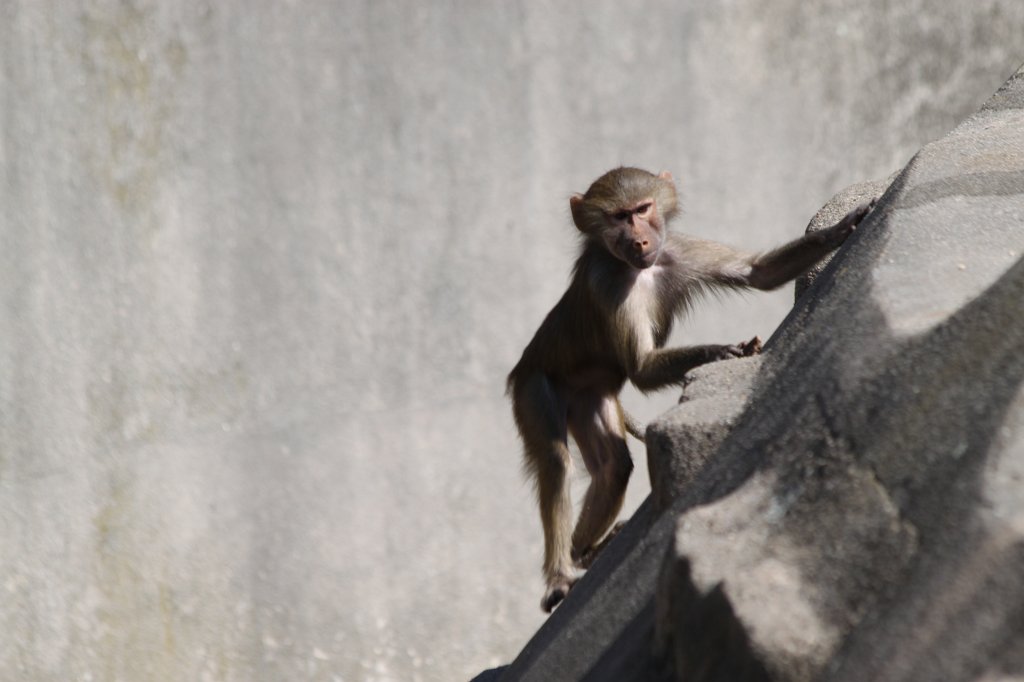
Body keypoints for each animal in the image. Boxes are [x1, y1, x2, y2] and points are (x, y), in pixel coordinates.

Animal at [507, 167, 873, 612]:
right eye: (618, 217)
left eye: (642, 209)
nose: (640, 241)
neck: (637, 268)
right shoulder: (606, 282)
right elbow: (643, 369)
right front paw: (725, 350)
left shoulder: (678, 250)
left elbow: (758, 272)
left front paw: (844, 227)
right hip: (534, 386)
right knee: (557, 462)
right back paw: (562, 574)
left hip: (589, 397)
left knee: (613, 466)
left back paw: (583, 551)